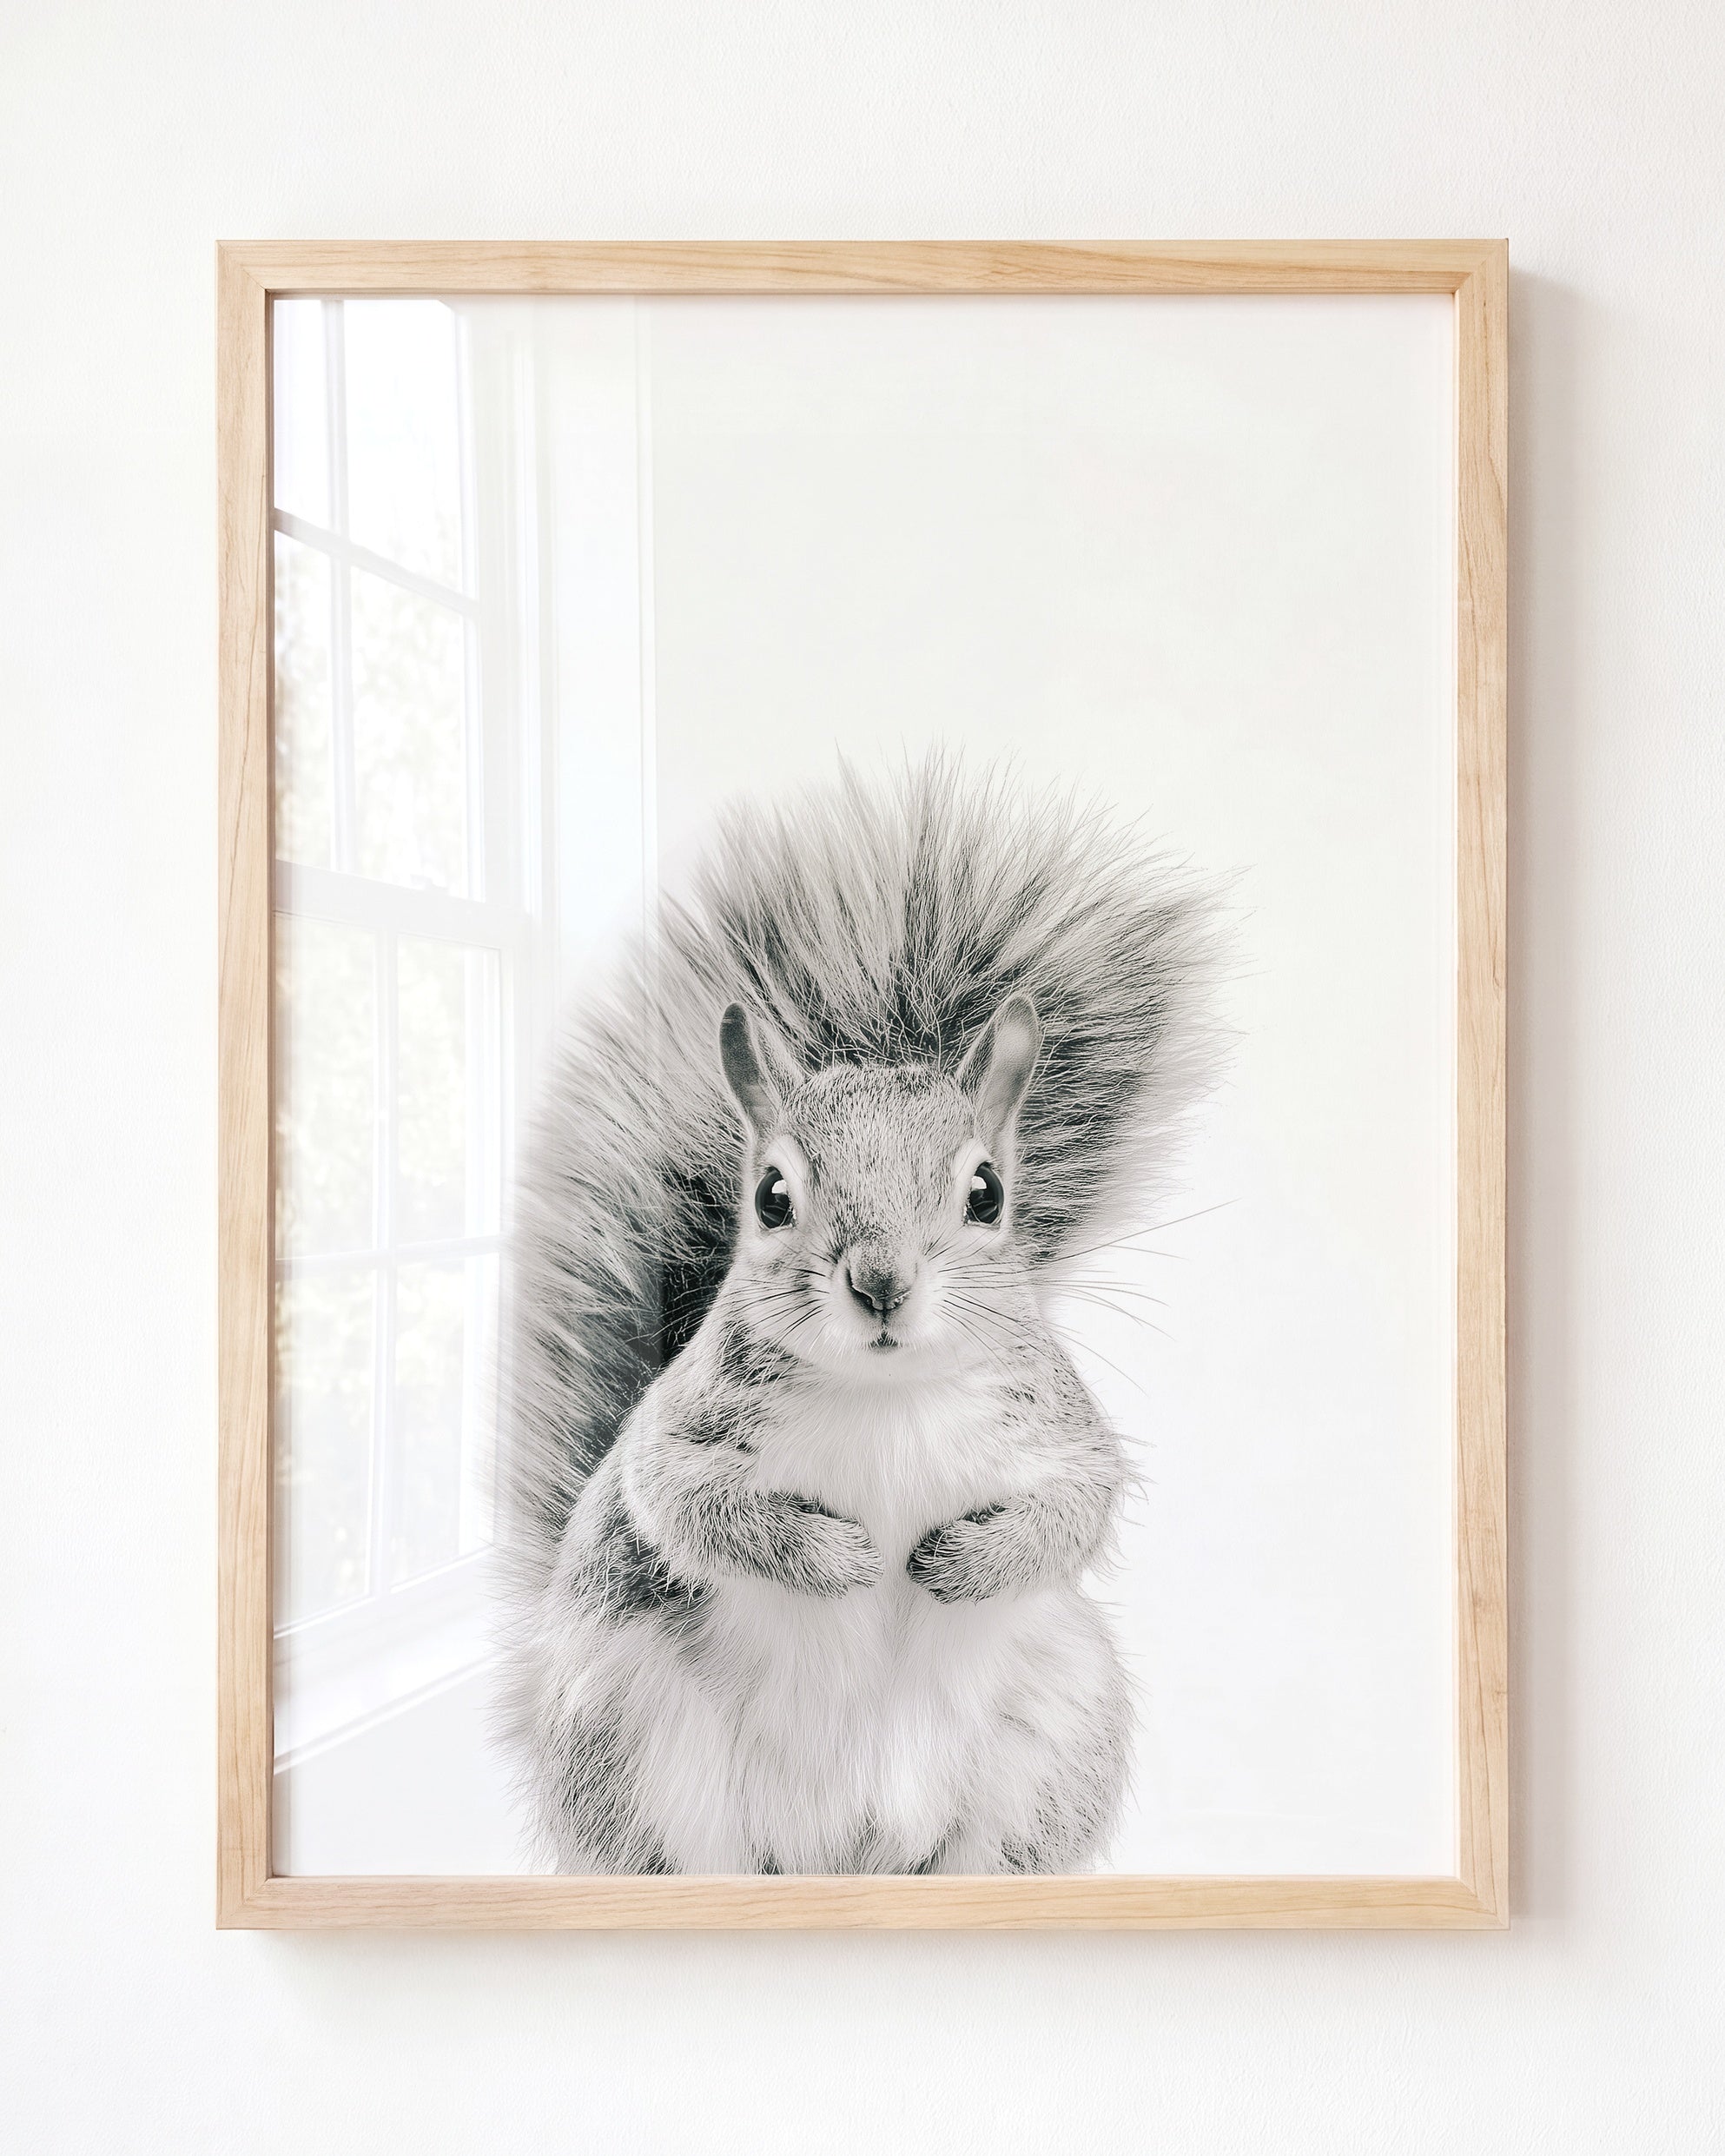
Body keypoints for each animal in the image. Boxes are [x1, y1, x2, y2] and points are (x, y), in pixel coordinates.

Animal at [493, 756, 1221, 1875]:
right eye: (770, 1197)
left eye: (986, 1194)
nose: (880, 1283)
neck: (886, 1394)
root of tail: (846, 1852)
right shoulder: (676, 1436)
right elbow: (690, 1506)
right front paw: (837, 1558)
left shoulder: (1060, 1432)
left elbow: (1075, 1509)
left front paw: (962, 1561)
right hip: (633, 1745)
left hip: (1053, 1737)